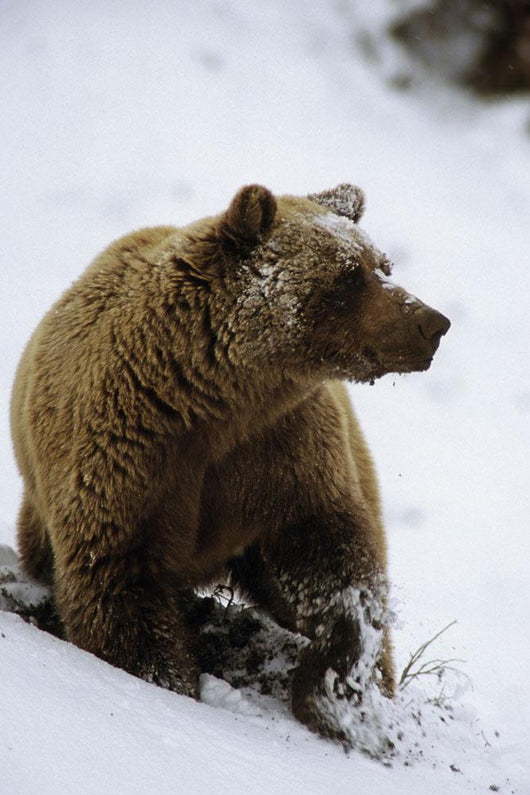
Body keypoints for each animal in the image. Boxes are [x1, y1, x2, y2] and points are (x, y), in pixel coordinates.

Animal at [10, 183, 450, 745]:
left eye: (383, 265)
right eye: (350, 274)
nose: (432, 323)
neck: (217, 399)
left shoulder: (282, 453)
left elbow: (333, 567)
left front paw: (339, 695)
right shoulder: (130, 452)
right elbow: (120, 580)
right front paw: (166, 679)